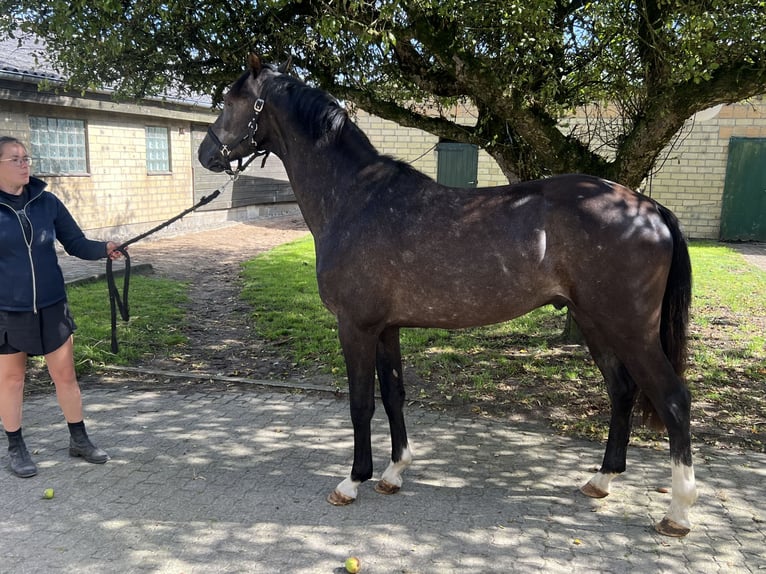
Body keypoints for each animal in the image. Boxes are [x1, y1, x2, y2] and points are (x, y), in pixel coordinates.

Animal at [201, 54, 700, 540]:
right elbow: (394, 394)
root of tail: (647, 208)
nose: (207, 153)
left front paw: (353, 480)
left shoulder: (355, 327)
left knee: (674, 400)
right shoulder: (386, 328)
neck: (355, 199)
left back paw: (678, 512)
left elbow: (361, 403)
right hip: (595, 322)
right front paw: (394, 473)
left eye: (230, 100)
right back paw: (602, 479)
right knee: (621, 391)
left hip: (629, 328)